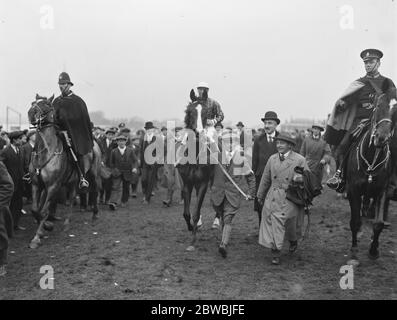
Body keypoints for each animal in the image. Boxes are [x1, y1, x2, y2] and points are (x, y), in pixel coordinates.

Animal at [26, 94, 100, 249]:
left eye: (47, 104)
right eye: (33, 103)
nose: (31, 113)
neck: (46, 152)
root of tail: (94, 142)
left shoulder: (53, 186)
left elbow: (44, 211)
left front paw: (38, 236)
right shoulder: (36, 185)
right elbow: (35, 209)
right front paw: (46, 226)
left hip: (92, 174)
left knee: (94, 190)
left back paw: (94, 214)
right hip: (72, 181)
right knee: (71, 198)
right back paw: (66, 223)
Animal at [344, 84, 394, 264]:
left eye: (395, 110)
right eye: (378, 106)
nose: (381, 138)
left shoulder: (382, 191)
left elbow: (378, 223)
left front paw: (373, 250)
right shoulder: (353, 190)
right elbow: (354, 221)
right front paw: (353, 252)